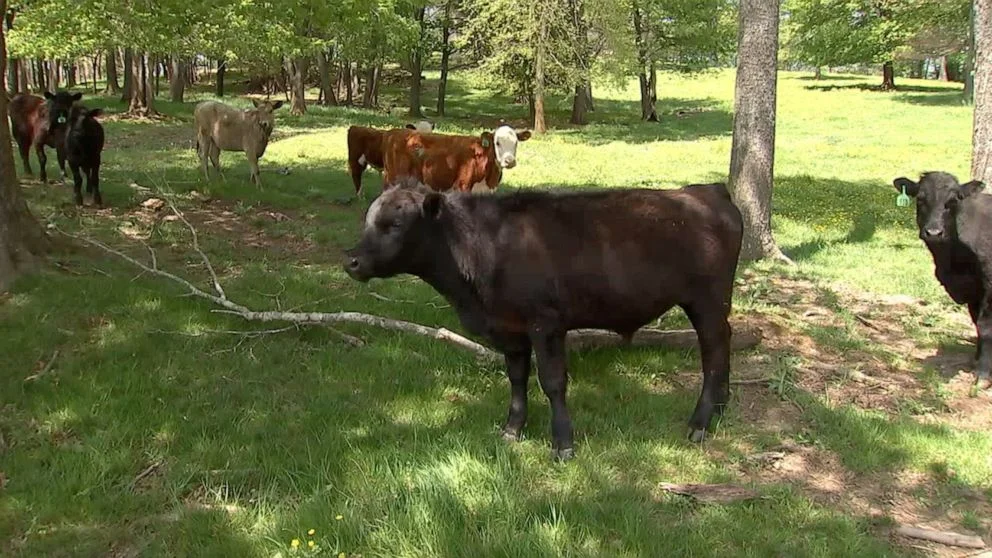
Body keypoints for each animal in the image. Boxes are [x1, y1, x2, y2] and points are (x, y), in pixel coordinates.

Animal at [343, 178, 744, 460]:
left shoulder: (546, 324)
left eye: (395, 224)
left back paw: (700, 422)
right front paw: (512, 429)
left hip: (707, 301)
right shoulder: (510, 329)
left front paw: (562, 443)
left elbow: (552, 382)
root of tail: (707, 191)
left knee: (713, 350)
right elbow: (517, 378)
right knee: (723, 343)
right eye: (369, 221)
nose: (352, 261)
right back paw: (721, 407)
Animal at [381, 124, 531, 194]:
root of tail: (393, 133)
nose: (509, 161)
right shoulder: (462, 186)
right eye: (497, 143)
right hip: (393, 180)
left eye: (516, 143)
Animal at [893, 171, 992, 386]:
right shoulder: (973, 290)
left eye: (952, 201)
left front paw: (983, 373)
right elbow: (977, 324)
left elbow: (985, 326)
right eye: (920, 199)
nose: (933, 232)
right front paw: (976, 360)